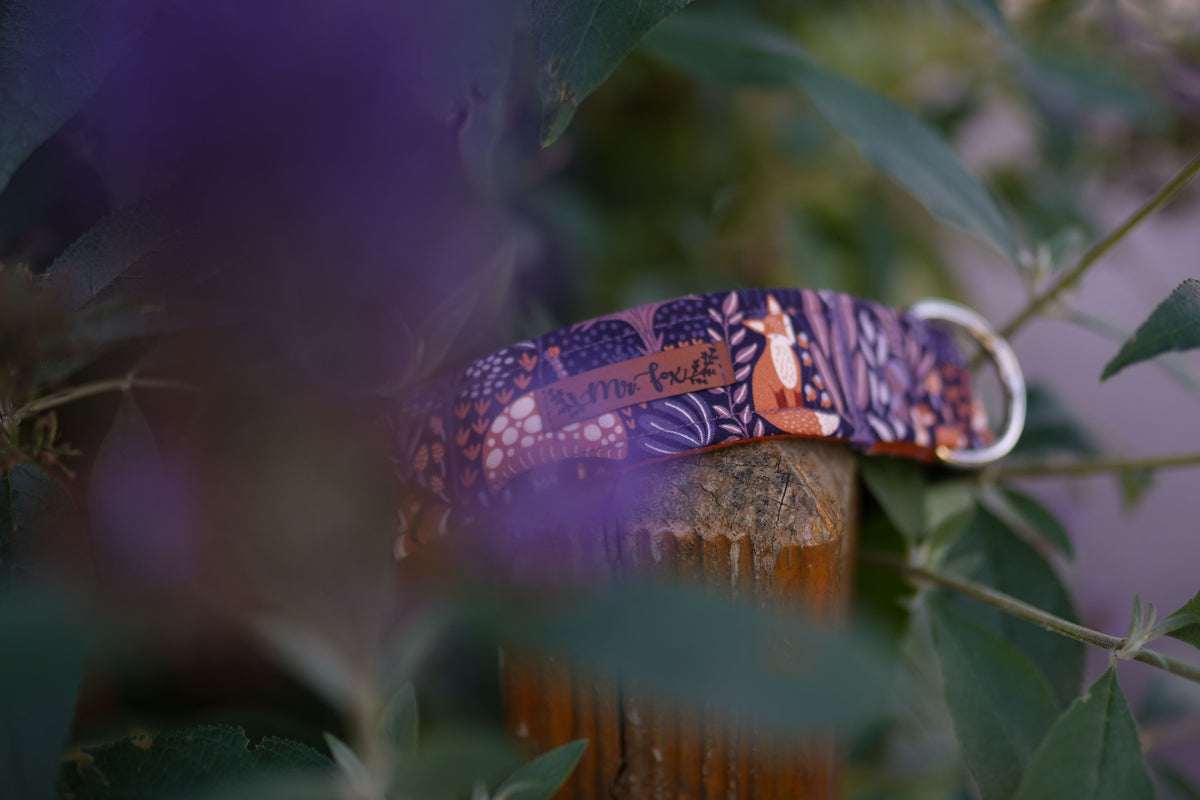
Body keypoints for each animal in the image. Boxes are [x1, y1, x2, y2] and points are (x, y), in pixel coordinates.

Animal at [743, 295, 840, 437]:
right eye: (776, 336)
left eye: (787, 325)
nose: (790, 340)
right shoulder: (778, 385)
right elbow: (783, 400)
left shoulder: (796, 383)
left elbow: (797, 400)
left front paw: (799, 409)